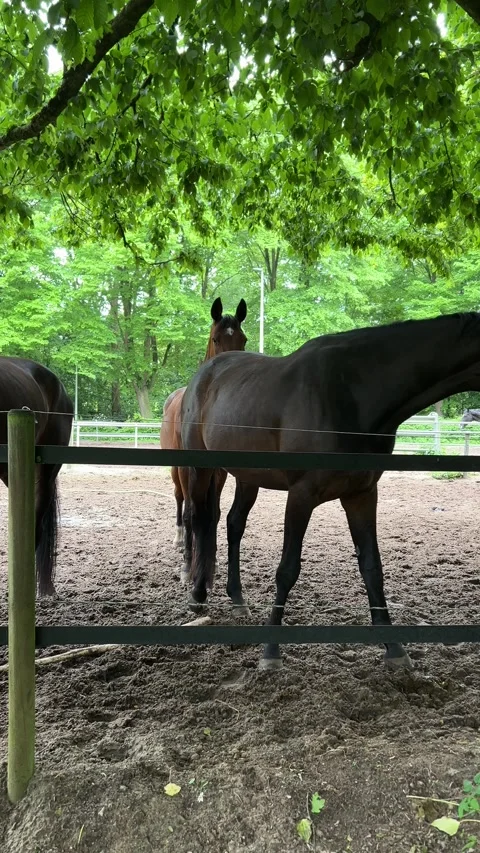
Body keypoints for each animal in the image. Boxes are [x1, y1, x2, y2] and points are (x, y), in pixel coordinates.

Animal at [160, 297, 247, 573]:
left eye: (243, 339)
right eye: (216, 339)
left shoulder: (220, 472)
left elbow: (215, 513)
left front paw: (213, 559)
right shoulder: (189, 468)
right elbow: (191, 511)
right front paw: (188, 565)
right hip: (175, 468)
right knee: (180, 498)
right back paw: (180, 539)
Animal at [180, 311, 480, 671]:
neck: (353, 392)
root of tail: (205, 372)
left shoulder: (362, 495)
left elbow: (372, 567)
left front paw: (394, 648)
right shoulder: (301, 495)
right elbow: (287, 570)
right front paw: (271, 652)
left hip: (247, 476)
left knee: (233, 524)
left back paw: (237, 597)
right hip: (201, 469)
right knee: (200, 519)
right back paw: (198, 593)